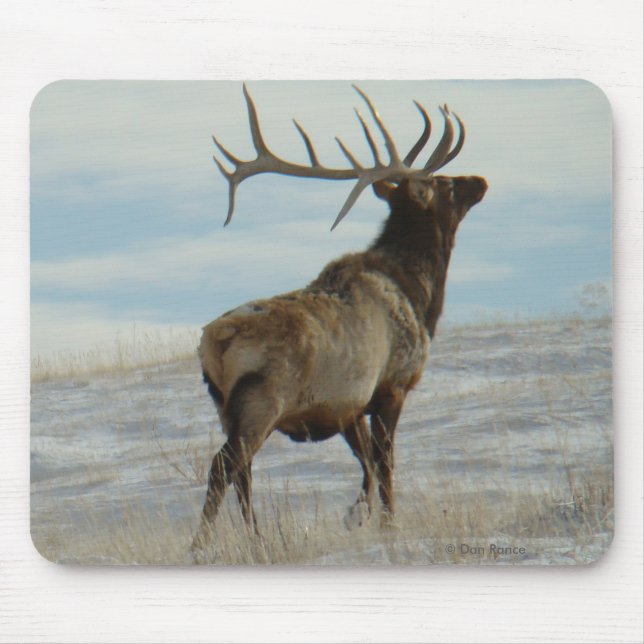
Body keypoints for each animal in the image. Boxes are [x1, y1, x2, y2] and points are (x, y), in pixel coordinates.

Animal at [191, 84, 487, 556]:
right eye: (443, 183)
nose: (479, 180)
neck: (420, 295)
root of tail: (215, 341)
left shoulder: (347, 405)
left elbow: (365, 462)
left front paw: (357, 515)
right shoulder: (392, 385)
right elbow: (384, 462)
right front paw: (385, 523)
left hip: (224, 405)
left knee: (243, 472)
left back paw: (257, 538)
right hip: (262, 399)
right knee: (225, 465)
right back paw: (202, 545)